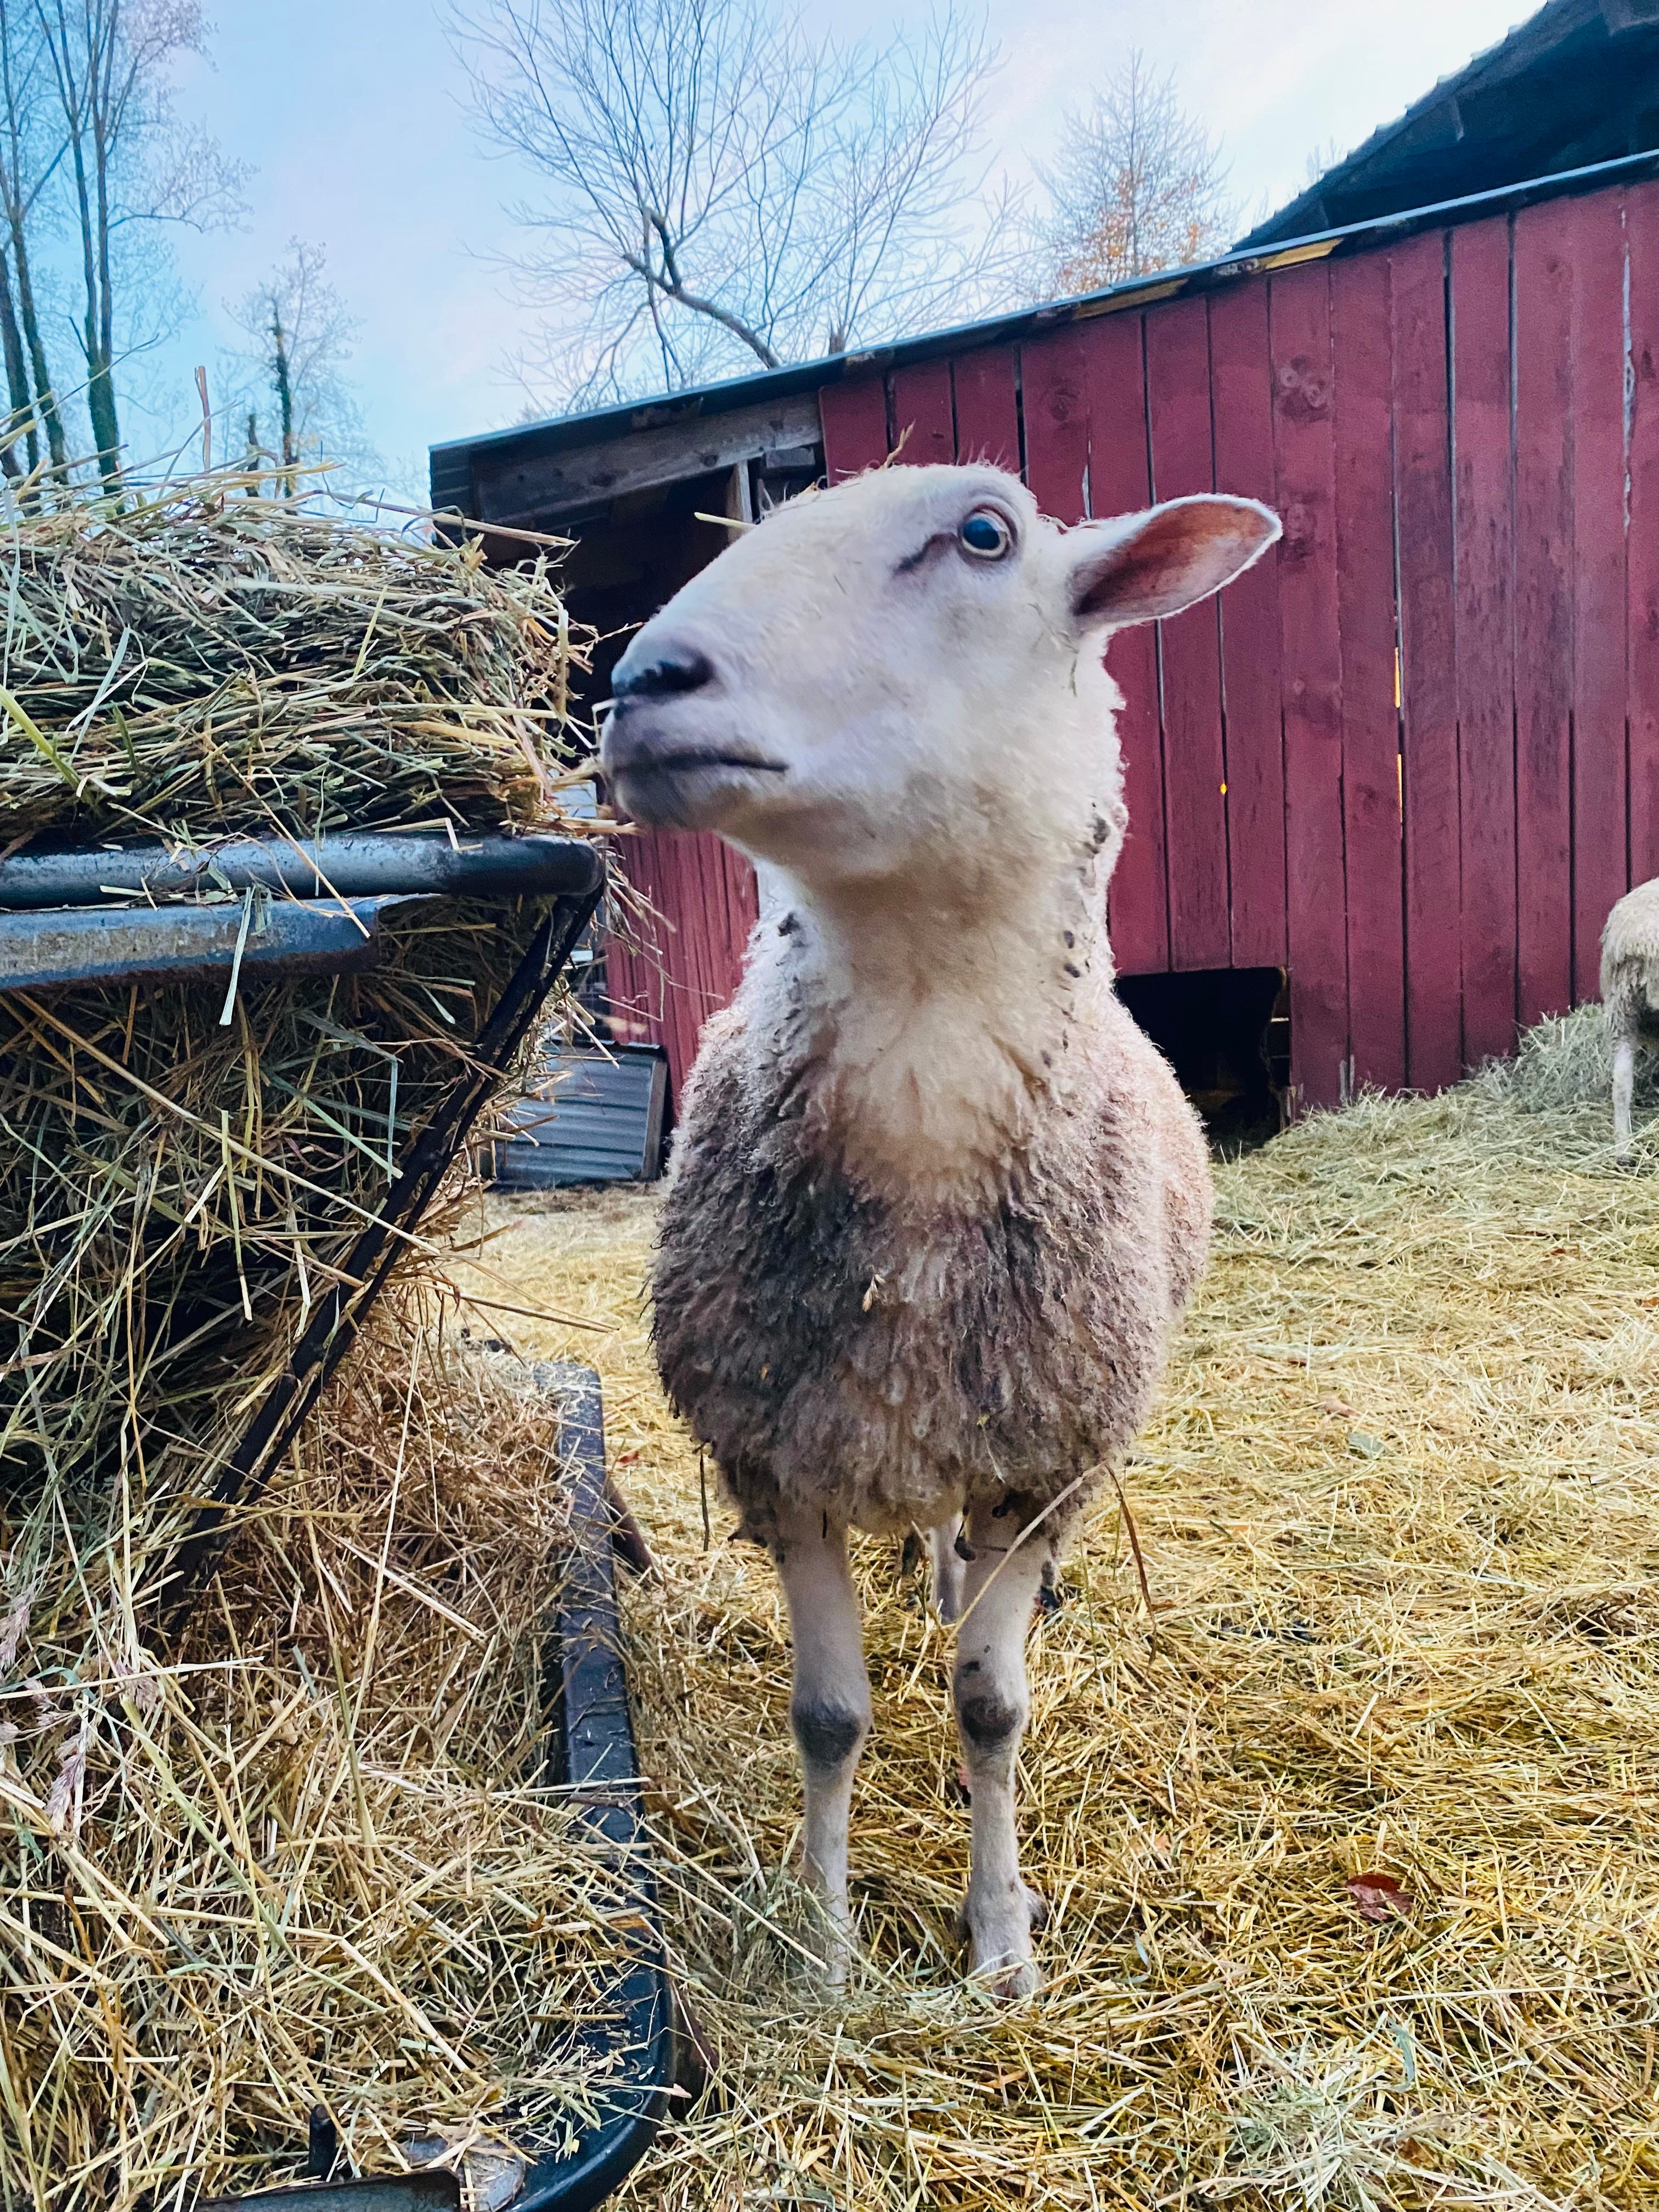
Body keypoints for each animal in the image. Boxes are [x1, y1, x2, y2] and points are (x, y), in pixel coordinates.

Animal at [599, 462, 1280, 1997]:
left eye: (983, 534)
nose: (640, 680)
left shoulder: (1042, 1462)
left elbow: (990, 1709)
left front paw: (1003, 1943)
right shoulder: (779, 1457)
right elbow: (830, 1719)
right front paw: (825, 1943)